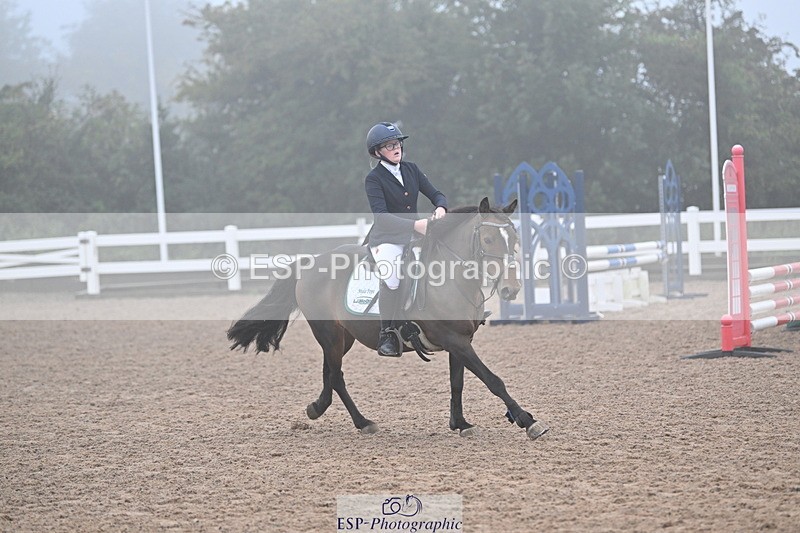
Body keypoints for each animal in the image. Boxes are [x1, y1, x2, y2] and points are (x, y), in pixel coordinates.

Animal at [227, 197, 549, 440]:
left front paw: (461, 424)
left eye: (514, 239)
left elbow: (457, 383)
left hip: (343, 338)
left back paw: (318, 408)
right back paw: (361, 422)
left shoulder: (460, 342)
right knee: (337, 376)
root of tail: (310, 263)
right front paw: (527, 420)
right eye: (488, 238)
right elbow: (493, 380)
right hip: (329, 335)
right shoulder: (455, 340)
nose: (511, 289)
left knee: (329, 374)